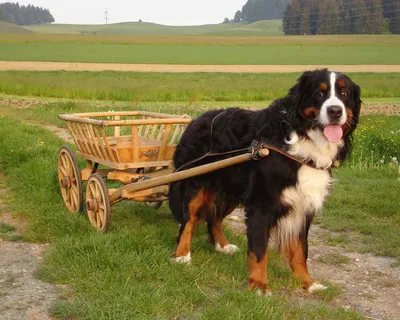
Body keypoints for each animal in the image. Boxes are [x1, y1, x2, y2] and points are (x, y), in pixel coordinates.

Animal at [167, 70, 360, 296]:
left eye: (344, 93)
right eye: (319, 93)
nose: (335, 111)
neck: (300, 141)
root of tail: (195, 121)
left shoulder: (303, 206)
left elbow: (300, 249)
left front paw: (307, 282)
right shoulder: (262, 204)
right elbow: (259, 251)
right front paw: (259, 285)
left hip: (231, 191)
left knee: (214, 218)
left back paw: (223, 246)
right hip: (195, 185)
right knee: (188, 220)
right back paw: (182, 255)